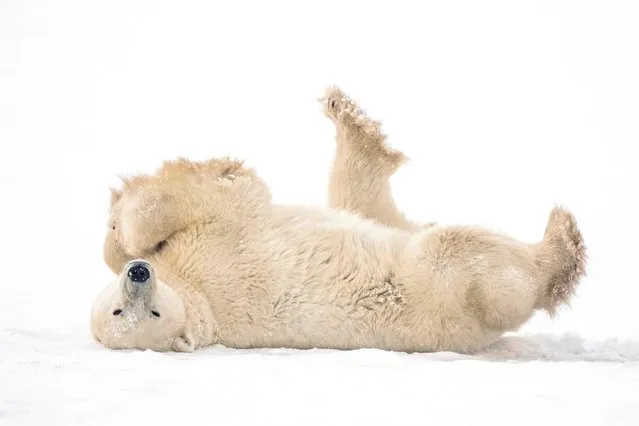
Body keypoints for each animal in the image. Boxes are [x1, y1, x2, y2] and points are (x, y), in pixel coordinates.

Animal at [91, 86, 592, 352]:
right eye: (124, 312)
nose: (139, 275)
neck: (201, 299)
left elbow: (130, 237)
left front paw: (118, 226)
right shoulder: (219, 250)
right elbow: (233, 198)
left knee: (364, 202)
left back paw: (345, 116)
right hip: (440, 289)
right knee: (458, 250)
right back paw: (562, 241)